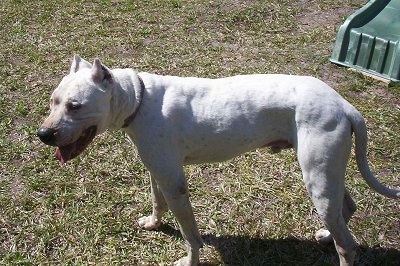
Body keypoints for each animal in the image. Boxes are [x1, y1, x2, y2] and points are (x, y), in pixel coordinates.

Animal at [36, 55, 396, 264]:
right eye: (53, 101)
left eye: (75, 106)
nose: (43, 134)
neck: (137, 98)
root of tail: (344, 105)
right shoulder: (158, 172)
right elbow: (156, 201)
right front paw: (153, 224)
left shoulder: (176, 185)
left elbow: (190, 234)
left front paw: (189, 260)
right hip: (326, 175)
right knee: (345, 208)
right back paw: (324, 235)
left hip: (317, 178)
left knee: (347, 245)